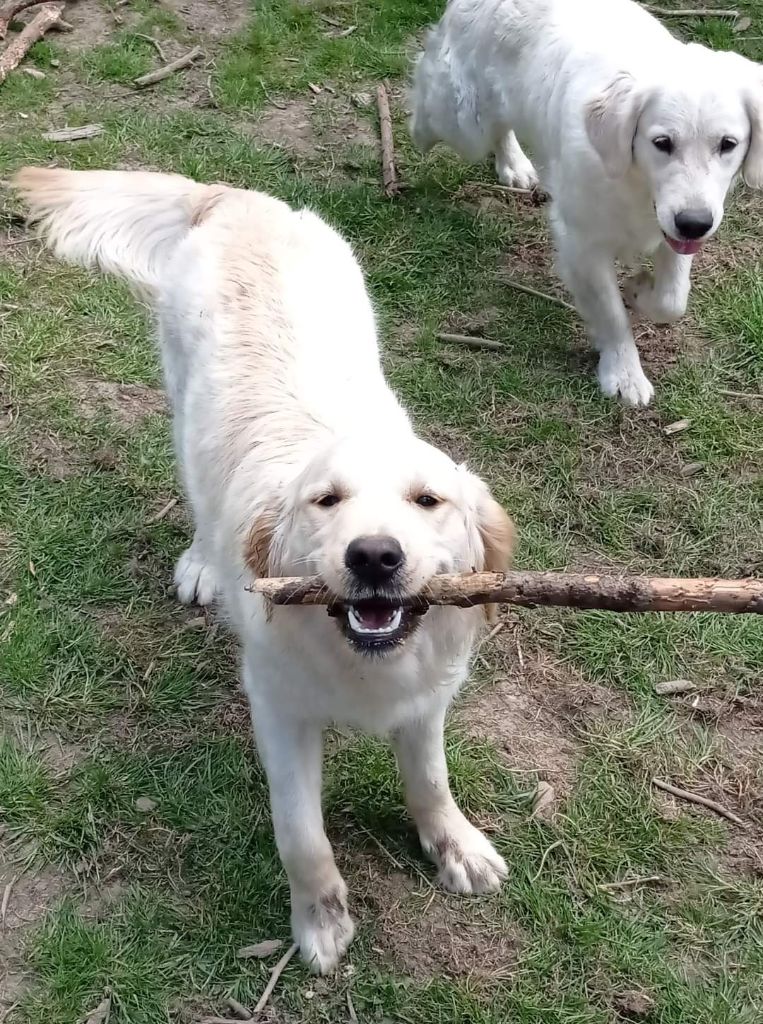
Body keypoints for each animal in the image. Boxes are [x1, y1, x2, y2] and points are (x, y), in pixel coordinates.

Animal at [17, 169, 514, 974]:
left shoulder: (425, 697)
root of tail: (236, 196)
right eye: (326, 500)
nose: (374, 555)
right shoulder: (279, 710)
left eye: (427, 501)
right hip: (180, 397)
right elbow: (301, 836)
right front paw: (319, 921)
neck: (360, 660)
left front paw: (456, 846)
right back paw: (201, 563)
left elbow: (431, 781)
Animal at [411, 0, 761, 403]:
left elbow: (672, 300)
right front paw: (624, 373)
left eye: (727, 144)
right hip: (465, 121)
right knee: (429, 94)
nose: (694, 224)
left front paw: (640, 290)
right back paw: (417, 130)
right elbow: (611, 313)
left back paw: (514, 164)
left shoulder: (681, 223)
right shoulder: (583, 245)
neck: (633, 181)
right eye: (662, 143)